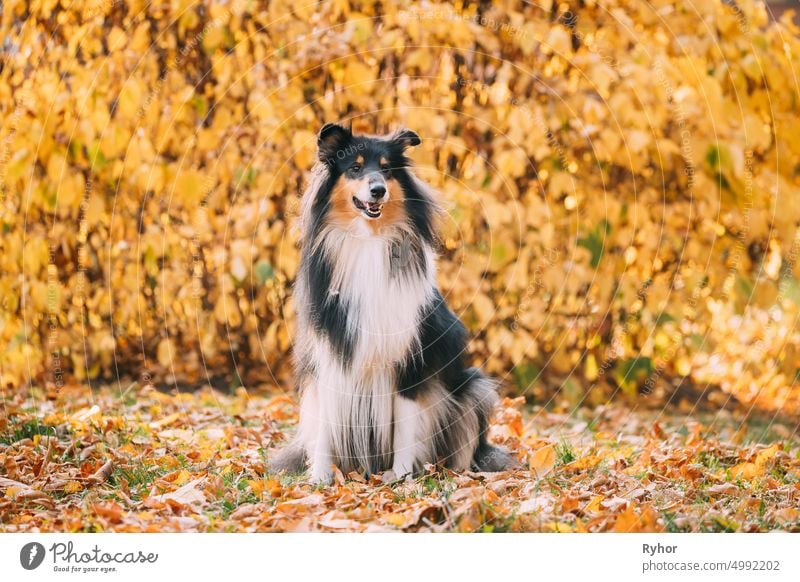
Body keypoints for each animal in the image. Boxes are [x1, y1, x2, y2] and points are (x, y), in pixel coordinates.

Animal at [272, 122, 516, 484]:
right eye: (355, 168)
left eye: (387, 169)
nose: (377, 191)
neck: (368, 241)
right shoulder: (330, 353)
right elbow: (326, 425)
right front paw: (319, 478)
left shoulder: (410, 361)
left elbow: (406, 426)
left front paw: (401, 478)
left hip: (473, 387)